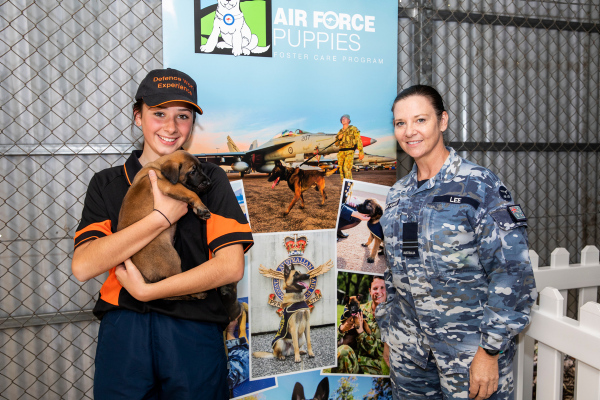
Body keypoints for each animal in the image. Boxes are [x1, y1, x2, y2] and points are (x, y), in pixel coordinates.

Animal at [117, 150, 211, 300]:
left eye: (201, 169)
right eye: (192, 171)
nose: (209, 182)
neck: (158, 167)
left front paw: (198, 210)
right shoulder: (170, 186)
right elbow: (191, 192)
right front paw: (201, 207)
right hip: (171, 258)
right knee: (178, 283)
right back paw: (197, 293)